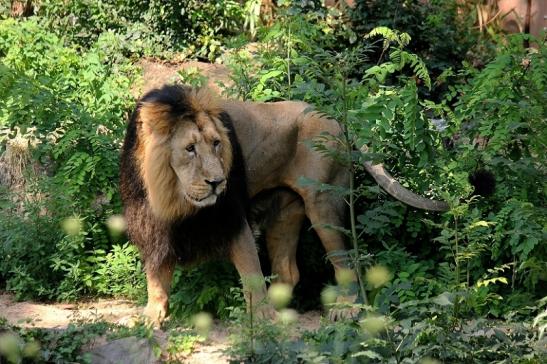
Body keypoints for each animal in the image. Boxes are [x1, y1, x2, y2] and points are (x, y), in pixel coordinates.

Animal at [119, 84, 446, 324]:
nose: (217, 182)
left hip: (323, 202)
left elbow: (251, 271)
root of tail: (335, 116)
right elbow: (157, 273)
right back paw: (283, 310)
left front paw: (261, 319)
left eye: (217, 143)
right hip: (286, 211)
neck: (171, 193)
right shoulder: (153, 223)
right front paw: (152, 315)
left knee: (346, 260)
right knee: (289, 271)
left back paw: (345, 309)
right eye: (189, 148)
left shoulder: (234, 216)